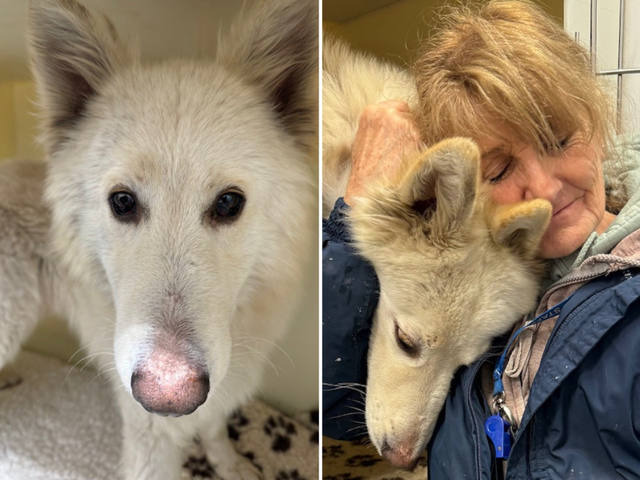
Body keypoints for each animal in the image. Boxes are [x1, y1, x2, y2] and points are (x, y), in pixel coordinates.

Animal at [0, 0, 318, 480]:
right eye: (122, 201)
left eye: (228, 202)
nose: (168, 395)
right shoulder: (149, 434)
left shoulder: (221, 389)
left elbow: (216, 430)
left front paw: (229, 467)